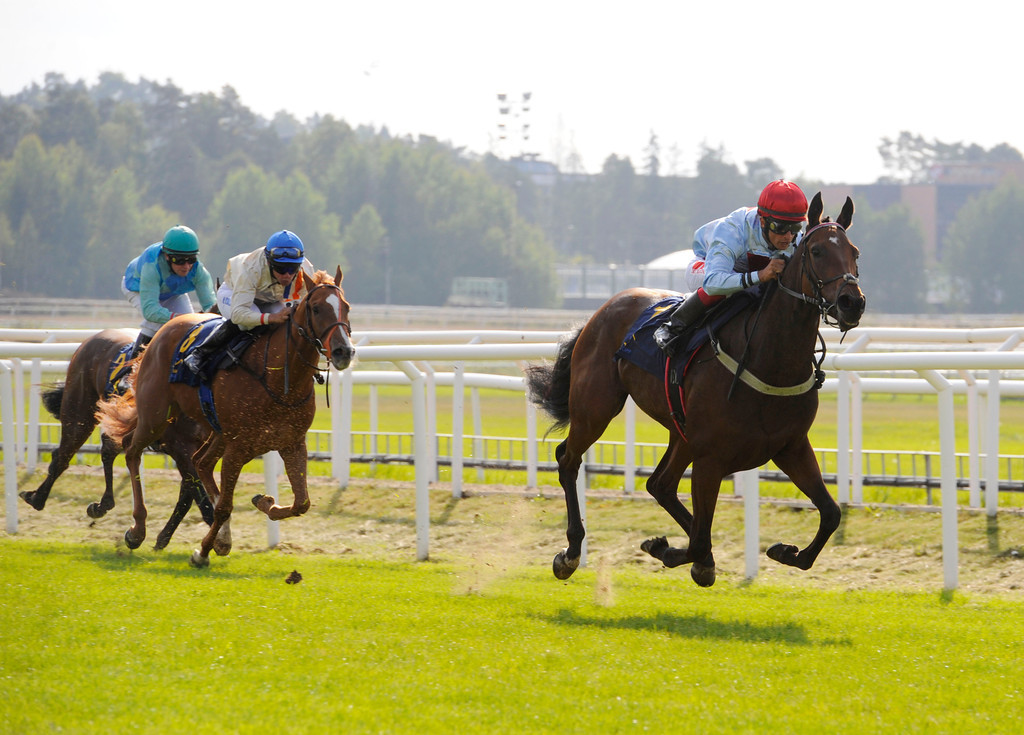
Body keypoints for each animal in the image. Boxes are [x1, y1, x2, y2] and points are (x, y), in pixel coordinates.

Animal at [19, 331, 214, 548]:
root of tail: (92, 339)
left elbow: (188, 494)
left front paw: (163, 537)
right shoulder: (179, 447)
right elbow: (199, 496)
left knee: (105, 451)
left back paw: (102, 504)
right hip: (79, 413)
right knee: (62, 456)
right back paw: (37, 498)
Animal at [96, 268, 352, 569]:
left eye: (346, 307)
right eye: (316, 308)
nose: (344, 351)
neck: (278, 378)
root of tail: (164, 329)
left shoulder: (291, 443)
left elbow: (302, 502)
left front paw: (263, 503)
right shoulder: (238, 447)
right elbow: (223, 507)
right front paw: (202, 551)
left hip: (215, 431)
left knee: (201, 462)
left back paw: (221, 537)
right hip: (156, 415)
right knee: (131, 450)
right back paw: (137, 530)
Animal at [524, 192, 868, 589]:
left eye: (854, 252)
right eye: (816, 251)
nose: (852, 302)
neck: (770, 360)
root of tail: (601, 310)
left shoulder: (791, 447)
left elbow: (830, 513)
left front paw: (786, 551)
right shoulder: (711, 459)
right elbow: (701, 538)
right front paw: (667, 549)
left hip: (680, 431)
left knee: (660, 484)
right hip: (596, 408)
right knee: (569, 459)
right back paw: (570, 553)